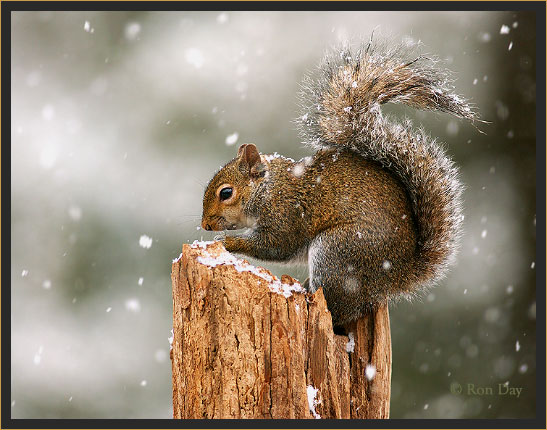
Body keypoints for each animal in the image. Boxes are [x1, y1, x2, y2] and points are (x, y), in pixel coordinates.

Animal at [201, 38, 480, 326]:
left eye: (226, 193)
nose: (206, 225)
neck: (269, 189)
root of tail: (399, 275)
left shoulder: (286, 215)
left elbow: (276, 246)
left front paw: (228, 242)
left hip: (339, 252)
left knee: (338, 308)